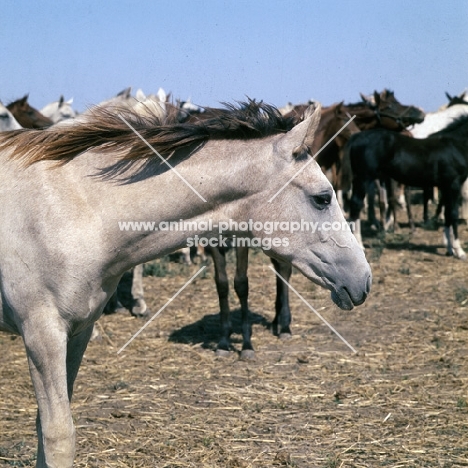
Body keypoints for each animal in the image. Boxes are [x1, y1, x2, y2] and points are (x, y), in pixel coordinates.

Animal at [0, 100, 372, 466]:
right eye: (322, 198)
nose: (364, 279)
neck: (77, 210)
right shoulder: (43, 334)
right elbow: (58, 436)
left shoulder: (79, 330)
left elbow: (44, 427)